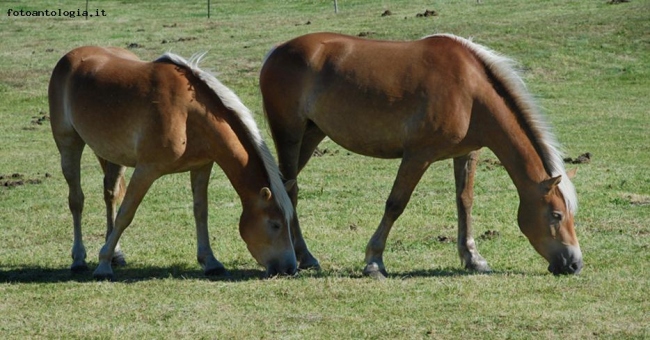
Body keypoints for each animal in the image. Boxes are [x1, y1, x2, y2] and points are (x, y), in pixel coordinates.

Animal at [48, 46, 296, 278]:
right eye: (275, 224)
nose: (290, 268)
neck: (187, 112)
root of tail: (73, 55)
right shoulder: (146, 169)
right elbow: (126, 215)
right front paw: (103, 265)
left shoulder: (202, 166)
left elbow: (201, 212)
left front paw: (210, 261)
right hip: (69, 144)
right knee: (76, 200)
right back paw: (79, 259)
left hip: (113, 156)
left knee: (110, 195)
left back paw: (116, 253)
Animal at [260, 31, 584, 276]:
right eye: (556, 215)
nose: (574, 264)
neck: (470, 91)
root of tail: (275, 51)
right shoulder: (418, 155)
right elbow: (395, 204)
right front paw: (374, 261)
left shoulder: (467, 153)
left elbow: (464, 202)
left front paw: (472, 258)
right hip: (289, 135)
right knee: (290, 190)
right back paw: (305, 256)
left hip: (312, 134)